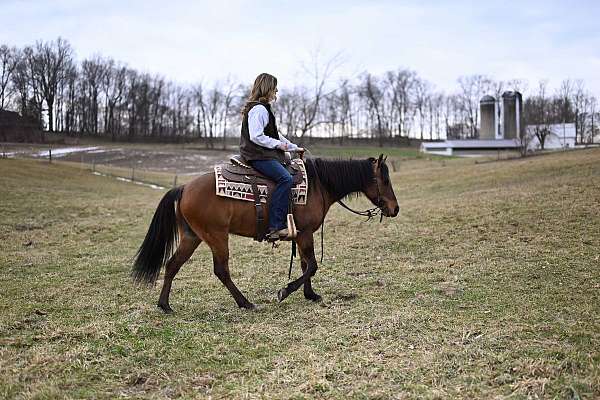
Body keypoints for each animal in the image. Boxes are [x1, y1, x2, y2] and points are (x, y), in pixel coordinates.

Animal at [134, 154, 400, 312]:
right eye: (385, 181)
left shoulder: (301, 235)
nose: (395, 209)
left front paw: (310, 294)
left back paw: (164, 305)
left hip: (192, 236)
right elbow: (312, 265)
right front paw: (285, 291)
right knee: (221, 270)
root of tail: (184, 187)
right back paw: (245, 303)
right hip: (216, 236)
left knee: (172, 264)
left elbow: (305, 264)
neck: (318, 185)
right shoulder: (305, 234)